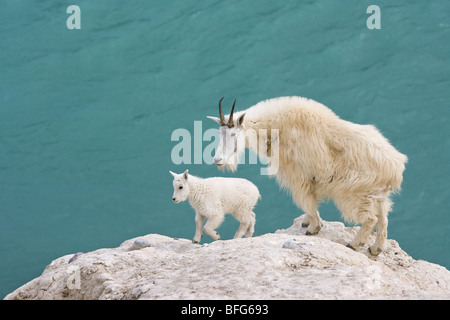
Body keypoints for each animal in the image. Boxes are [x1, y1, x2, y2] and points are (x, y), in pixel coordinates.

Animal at [207, 95, 408, 255]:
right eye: (219, 132)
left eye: (233, 133)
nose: (218, 159)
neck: (274, 128)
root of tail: (394, 168)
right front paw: (306, 222)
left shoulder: (298, 177)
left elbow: (307, 201)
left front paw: (313, 228)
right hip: (377, 195)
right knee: (383, 220)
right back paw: (376, 248)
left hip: (353, 194)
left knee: (370, 219)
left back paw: (353, 244)